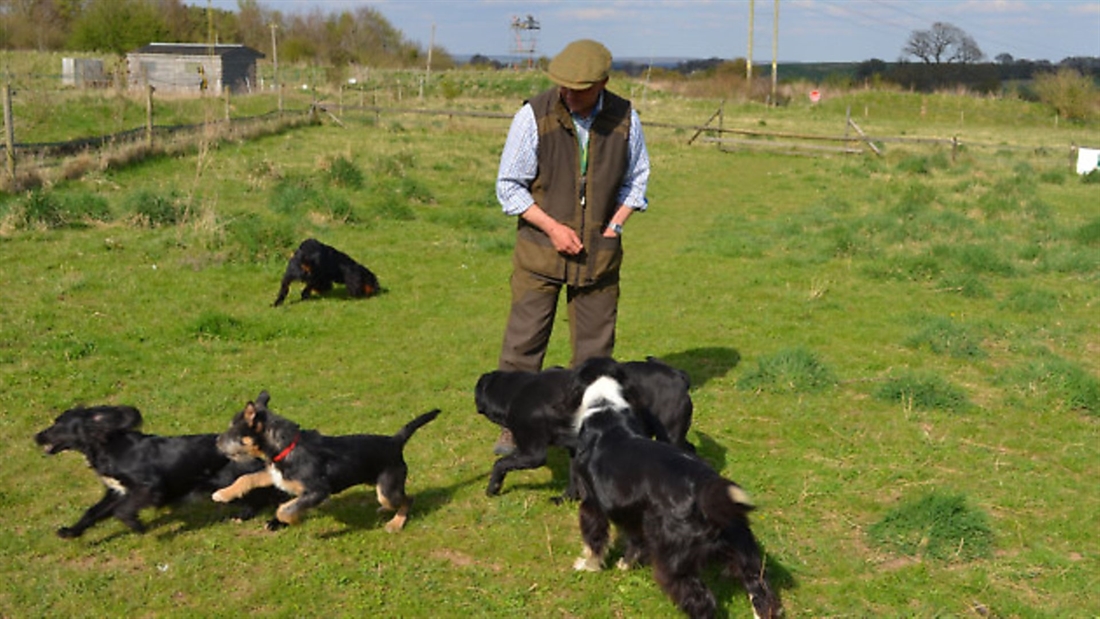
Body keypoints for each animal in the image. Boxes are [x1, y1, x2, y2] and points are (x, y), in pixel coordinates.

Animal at [210, 391, 437, 532]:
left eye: (232, 431)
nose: (216, 441)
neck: (285, 446)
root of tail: (395, 441)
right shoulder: (275, 474)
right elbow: (247, 477)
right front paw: (223, 494)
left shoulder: (318, 490)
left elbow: (284, 509)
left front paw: (292, 520)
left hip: (387, 489)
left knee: (408, 499)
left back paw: (396, 523)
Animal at [475, 358, 695, 499]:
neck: (517, 391)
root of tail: (678, 375)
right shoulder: (574, 448)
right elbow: (574, 476)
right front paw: (568, 498)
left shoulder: (532, 454)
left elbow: (500, 464)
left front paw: (492, 489)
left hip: (669, 434)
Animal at [572, 358, 778, 619]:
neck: (605, 411)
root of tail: (704, 487)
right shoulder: (634, 513)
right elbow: (634, 542)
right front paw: (625, 564)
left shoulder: (591, 504)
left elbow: (594, 539)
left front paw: (588, 566)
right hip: (744, 548)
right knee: (761, 590)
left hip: (674, 560)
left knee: (701, 601)